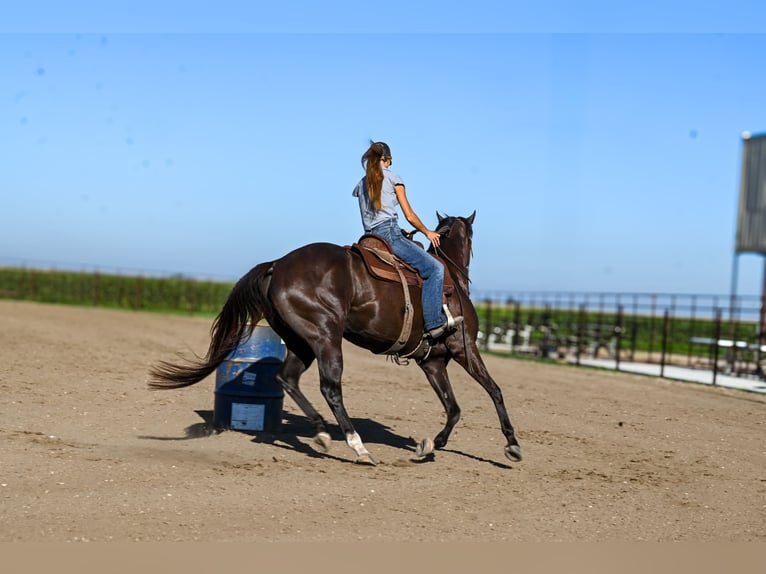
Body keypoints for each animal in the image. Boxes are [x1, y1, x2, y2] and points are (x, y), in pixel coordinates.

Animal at [148, 212, 522, 465]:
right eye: (471, 239)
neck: (449, 282)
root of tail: (277, 265)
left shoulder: (433, 363)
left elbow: (453, 407)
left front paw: (431, 445)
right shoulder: (463, 348)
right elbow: (494, 391)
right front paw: (512, 444)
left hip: (301, 341)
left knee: (287, 379)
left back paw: (322, 432)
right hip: (327, 337)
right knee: (330, 387)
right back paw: (358, 446)